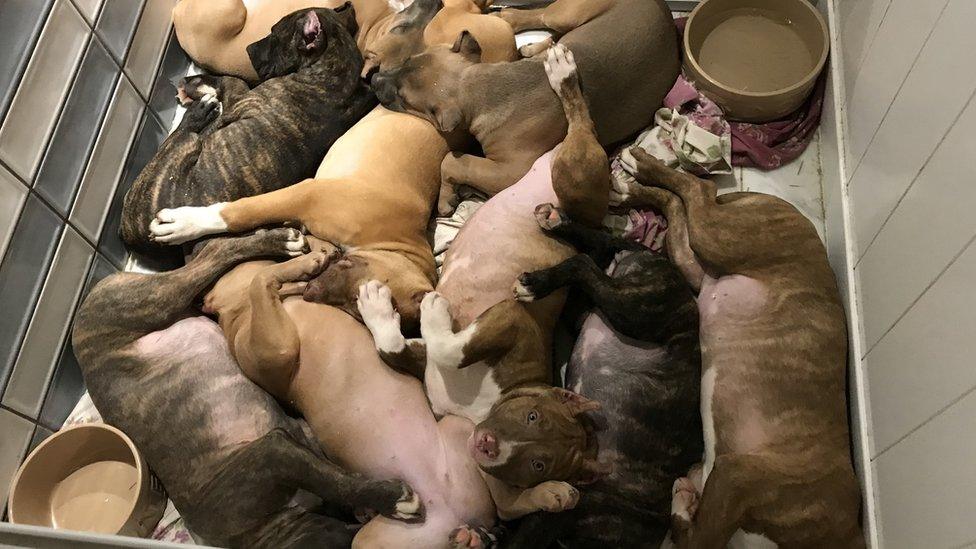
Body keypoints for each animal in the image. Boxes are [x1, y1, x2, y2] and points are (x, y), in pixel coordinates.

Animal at [68, 228, 420, 548]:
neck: (263, 532)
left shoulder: (277, 451)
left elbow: (331, 478)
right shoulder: (281, 448)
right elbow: (335, 478)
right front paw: (389, 499)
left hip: (153, 302)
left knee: (220, 258)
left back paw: (290, 248)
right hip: (153, 302)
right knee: (220, 260)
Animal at [124, 4, 376, 256]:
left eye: (274, 33)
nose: (248, 48)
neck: (337, 74)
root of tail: (130, 234)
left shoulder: (239, 100)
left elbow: (231, 80)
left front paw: (199, 86)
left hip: (177, 151)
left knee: (186, 132)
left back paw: (198, 112)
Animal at [374, 0, 680, 216]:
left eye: (402, 97)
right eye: (409, 59)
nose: (374, 79)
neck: (483, 88)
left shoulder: (507, 172)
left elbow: (451, 160)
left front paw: (446, 198)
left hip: (566, 12)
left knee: (543, 19)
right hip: (567, 16)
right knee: (544, 26)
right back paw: (529, 42)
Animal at [612, 151, 864, 548]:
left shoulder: (726, 478)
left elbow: (695, 530)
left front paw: (684, 501)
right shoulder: (738, 475)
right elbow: (698, 539)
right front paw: (682, 507)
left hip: (697, 261)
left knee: (680, 206)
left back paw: (629, 189)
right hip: (724, 238)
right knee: (699, 189)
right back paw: (640, 166)